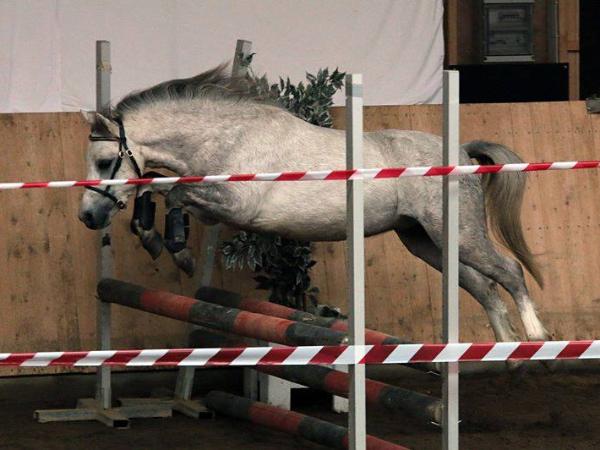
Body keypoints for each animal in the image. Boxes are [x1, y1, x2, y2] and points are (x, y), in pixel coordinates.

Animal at [79, 64, 549, 344]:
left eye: (103, 161)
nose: (87, 216)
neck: (227, 135)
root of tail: (463, 152)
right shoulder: (213, 202)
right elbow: (155, 190)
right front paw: (156, 240)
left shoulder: (236, 204)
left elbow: (171, 191)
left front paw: (177, 251)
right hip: (425, 241)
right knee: (484, 287)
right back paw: (504, 352)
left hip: (460, 234)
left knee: (509, 272)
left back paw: (537, 337)